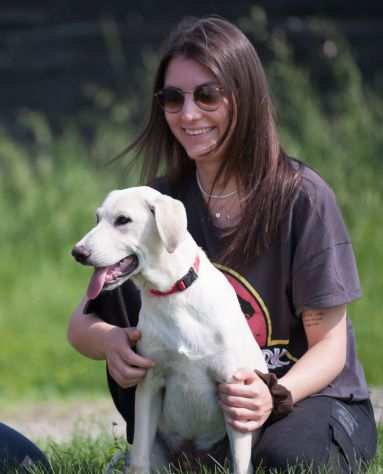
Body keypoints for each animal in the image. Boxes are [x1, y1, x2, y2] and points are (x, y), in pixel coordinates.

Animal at [73, 186, 268, 474]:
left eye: (123, 220)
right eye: (97, 218)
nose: (77, 252)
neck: (173, 294)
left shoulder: (234, 390)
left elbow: (241, 464)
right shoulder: (149, 385)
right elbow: (139, 460)